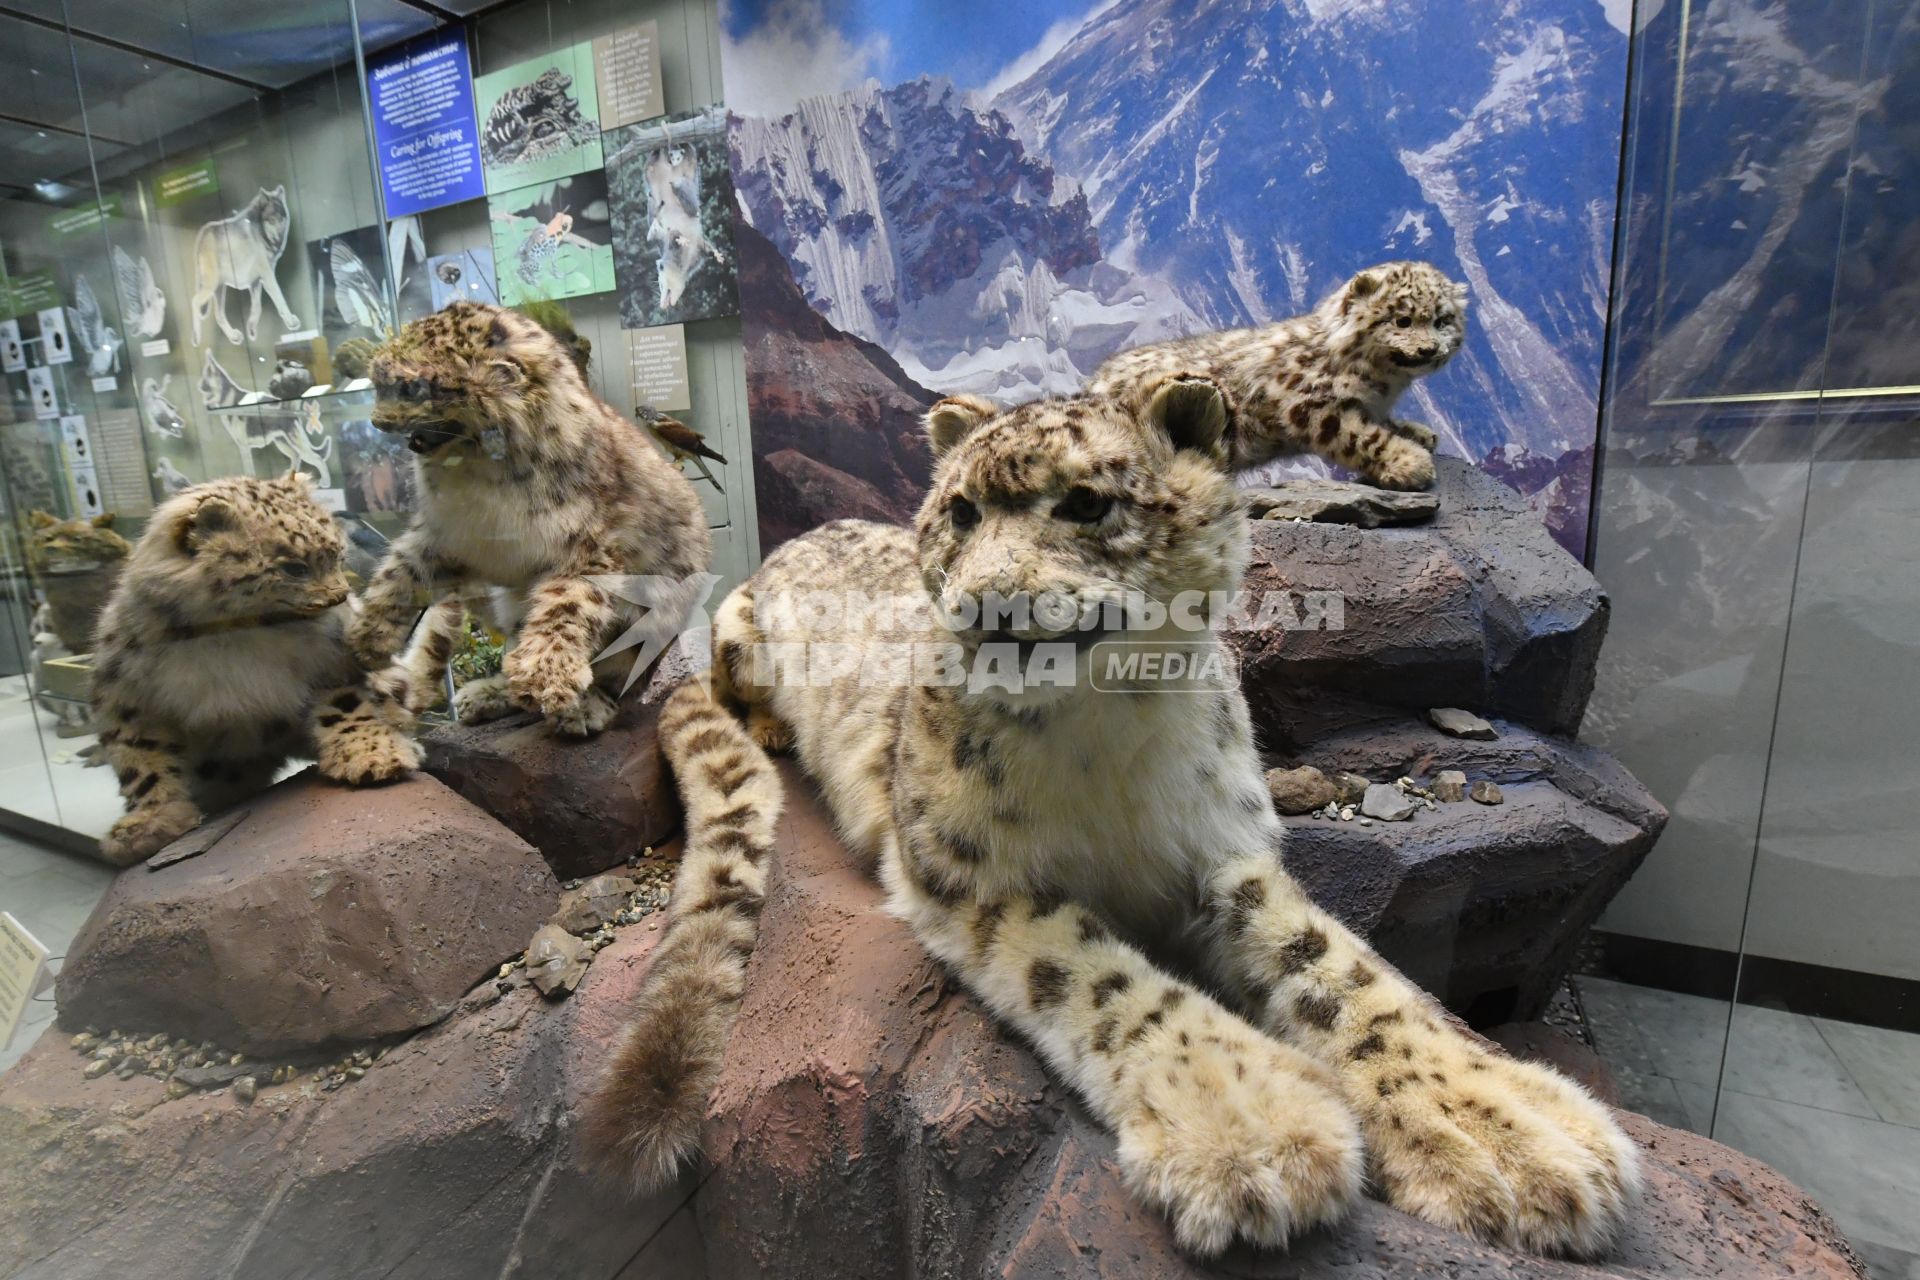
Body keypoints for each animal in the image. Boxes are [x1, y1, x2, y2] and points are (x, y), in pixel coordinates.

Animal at [89, 475, 424, 867]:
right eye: (294, 567)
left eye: (339, 556)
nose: (340, 596)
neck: (228, 636)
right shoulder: (125, 693)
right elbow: (139, 758)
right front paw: (149, 822)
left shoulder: (330, 664)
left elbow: (346, 708)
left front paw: (375, 756)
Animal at [347, 305, 714, 736]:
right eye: (380, 383)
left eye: (412, 388)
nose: (375, 421)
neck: (477, 477)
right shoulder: (442, 537)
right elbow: (397, 573)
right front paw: (367, 635)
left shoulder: (585, 548)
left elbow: (565, 605)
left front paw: (547, 673)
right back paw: (488, 694)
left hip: (646, 620)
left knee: (623, 675)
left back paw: (583, 706)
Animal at [583, 376, 1635, 1258]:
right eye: (960, 512)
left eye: (1087, 502)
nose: (988, 604)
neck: (1110, 736)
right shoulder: (968, 871)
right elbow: (1106, 976)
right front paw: (1251, 1125)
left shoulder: (1226, 850)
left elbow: (1347, 976)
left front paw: (1510, 1131)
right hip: (739, 630)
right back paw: (766, 725)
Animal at [1090, 260, 1459, 491]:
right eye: (1402, 320)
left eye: (1442, 321)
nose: (1429, 349)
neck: (1387, 383)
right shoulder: (1313, 406)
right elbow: (1364, 436)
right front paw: (1410, 463)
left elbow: (1382, 423)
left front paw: (1418, 433)